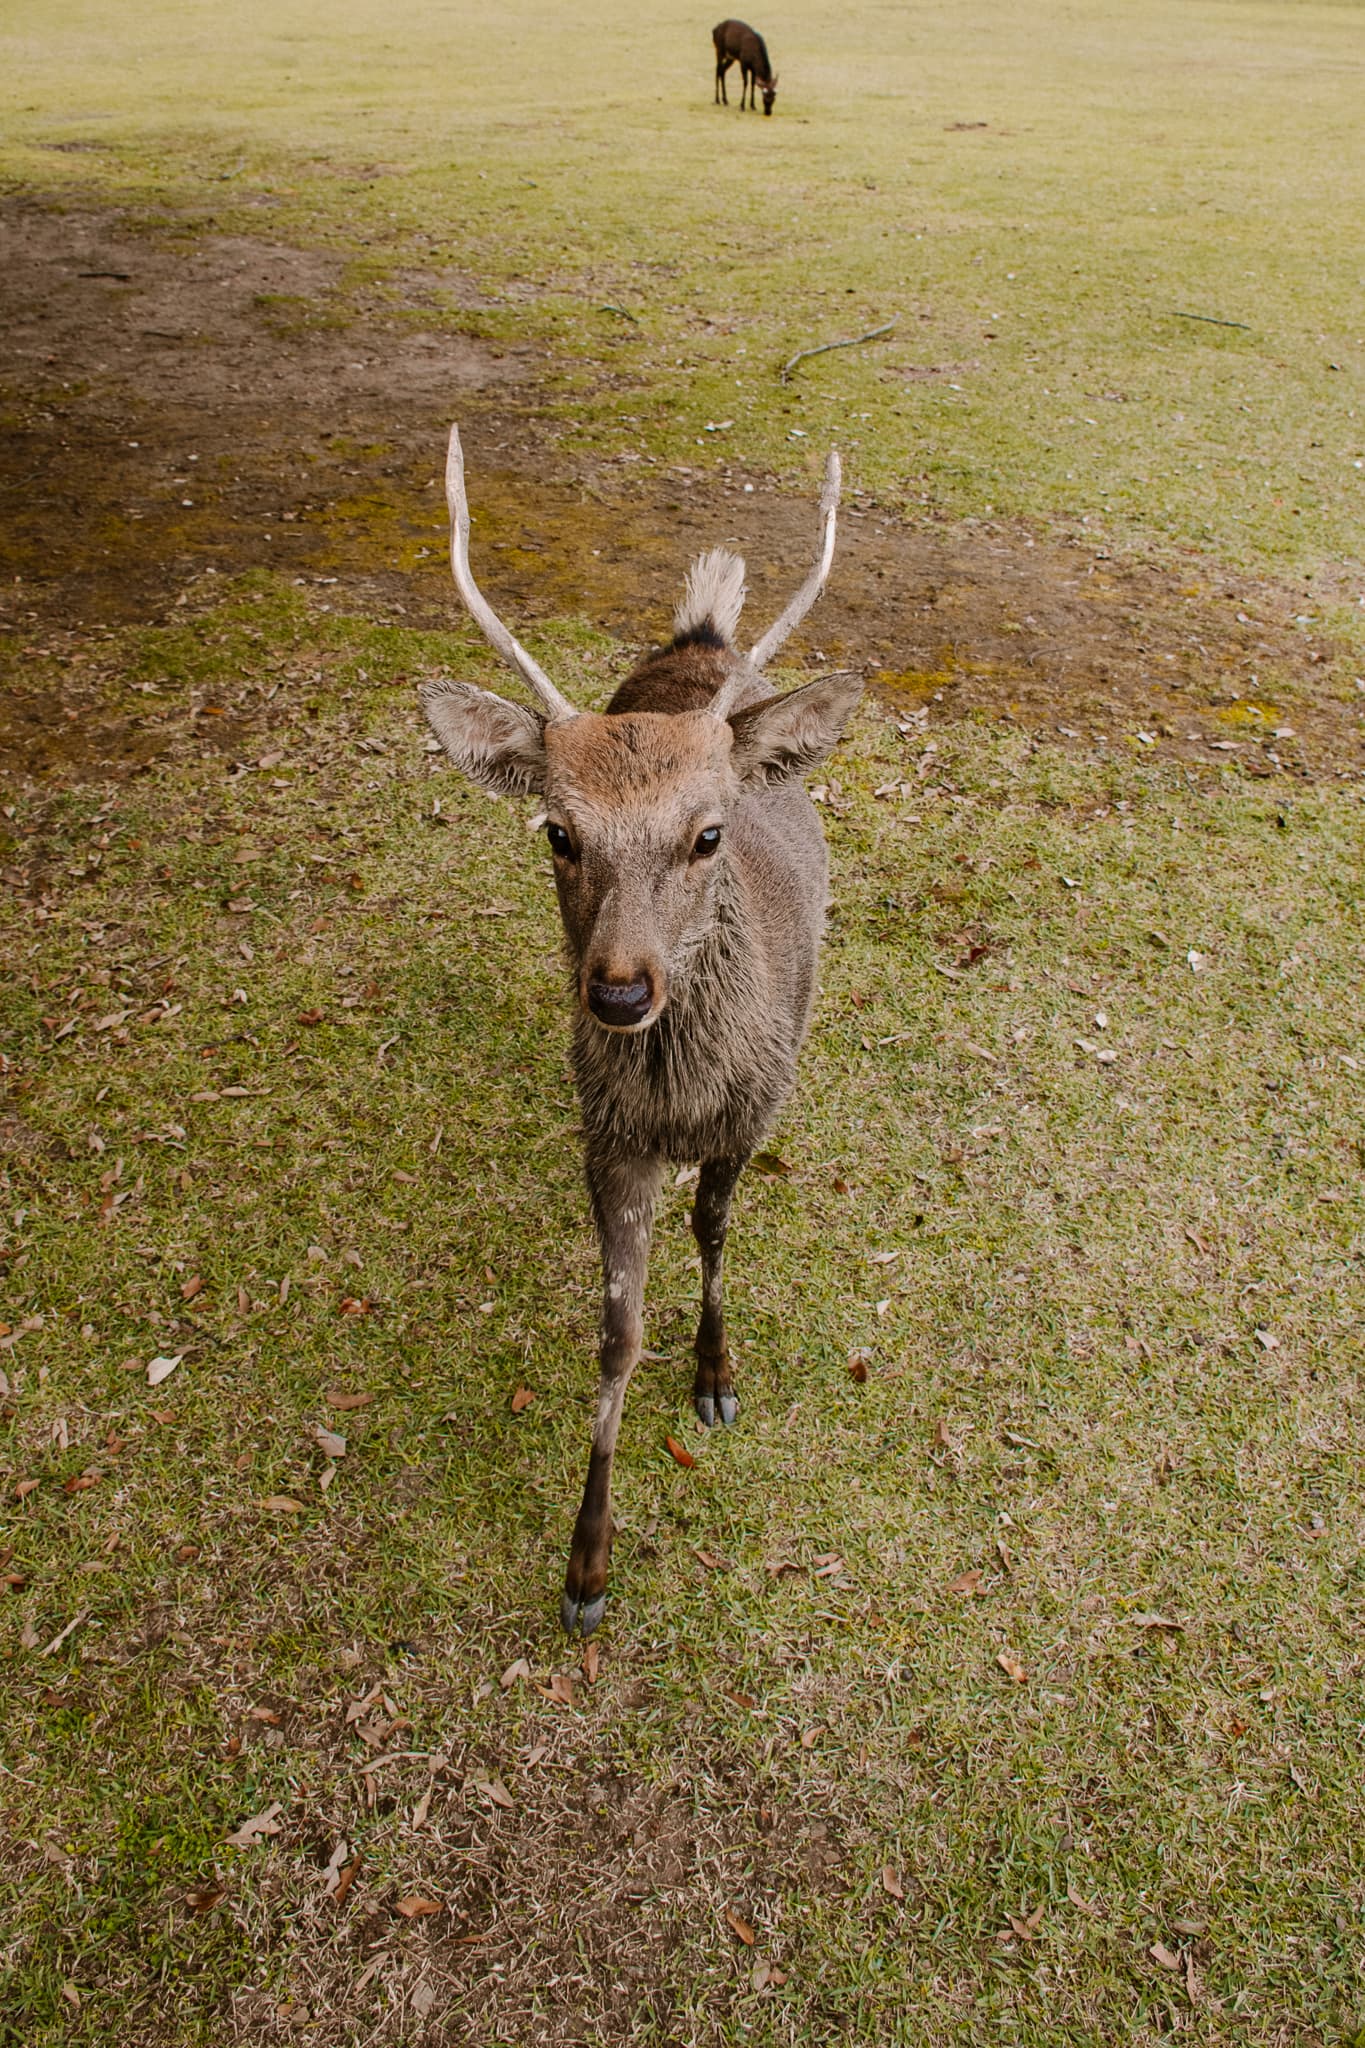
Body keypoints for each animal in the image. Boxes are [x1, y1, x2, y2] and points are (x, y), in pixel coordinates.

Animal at [421, 428, 859, 1630]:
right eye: (557, 832)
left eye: (708, 833)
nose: (618, 994)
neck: (679, 1098)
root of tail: (704, 634)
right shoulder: (607, 1134)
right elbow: (615, 1334)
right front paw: (586, 1566)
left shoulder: (755, 1108)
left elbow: (713, 1231)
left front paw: (716, 1377)